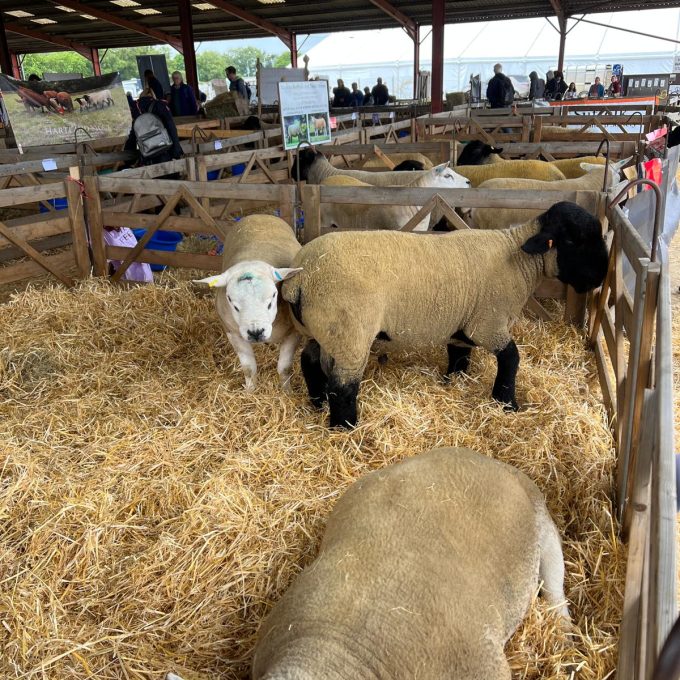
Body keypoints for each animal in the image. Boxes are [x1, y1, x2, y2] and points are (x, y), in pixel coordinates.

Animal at [194, 215, 302, 392]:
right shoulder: (233, 334)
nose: (256, 332)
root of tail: (259, 215)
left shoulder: (293, 332)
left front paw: (287, 392)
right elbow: (249, 369)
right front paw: (250, 392)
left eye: (273, 296)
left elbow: (284, 368)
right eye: (232, 302)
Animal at [282, 201, 608, 428]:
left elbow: (459, 354)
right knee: (342, 385)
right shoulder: (487, 323)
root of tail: (301, 276)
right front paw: (506, 403)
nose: (601, 277)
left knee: (309, 361)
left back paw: (317, 403)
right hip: (350, 333)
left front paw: (454, 382)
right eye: (573, 240)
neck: (519, 262)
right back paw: (345, 427)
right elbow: (511, 359)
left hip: (323, 331)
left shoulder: (462, 324)